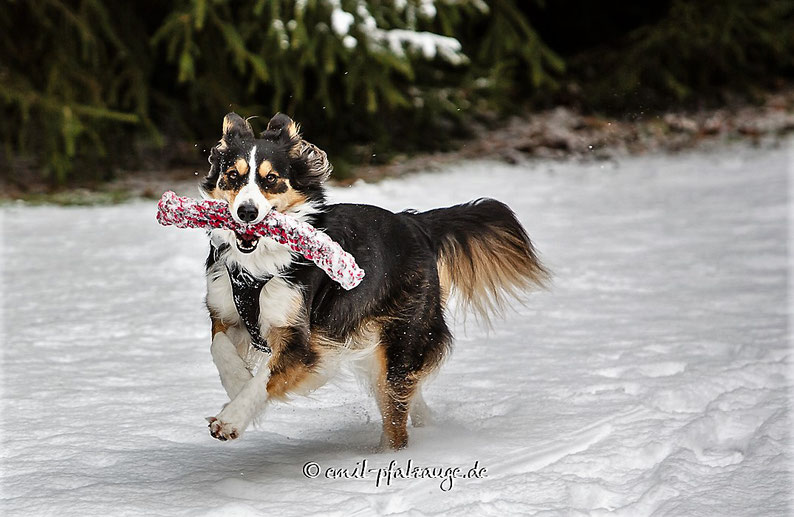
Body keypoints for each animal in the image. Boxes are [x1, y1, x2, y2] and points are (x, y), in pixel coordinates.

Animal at [200, 112, 544, 448]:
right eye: (232, 175)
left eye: (270, 179)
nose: (246, 212)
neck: (256, 263)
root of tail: (413, 223)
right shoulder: (225, 312)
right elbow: (220, 349)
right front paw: (237, 384)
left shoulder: (302, 341)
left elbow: (266, 378)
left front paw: (232, 418)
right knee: (403, 396)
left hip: (402, 337)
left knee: (396, 413)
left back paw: (388, 454)